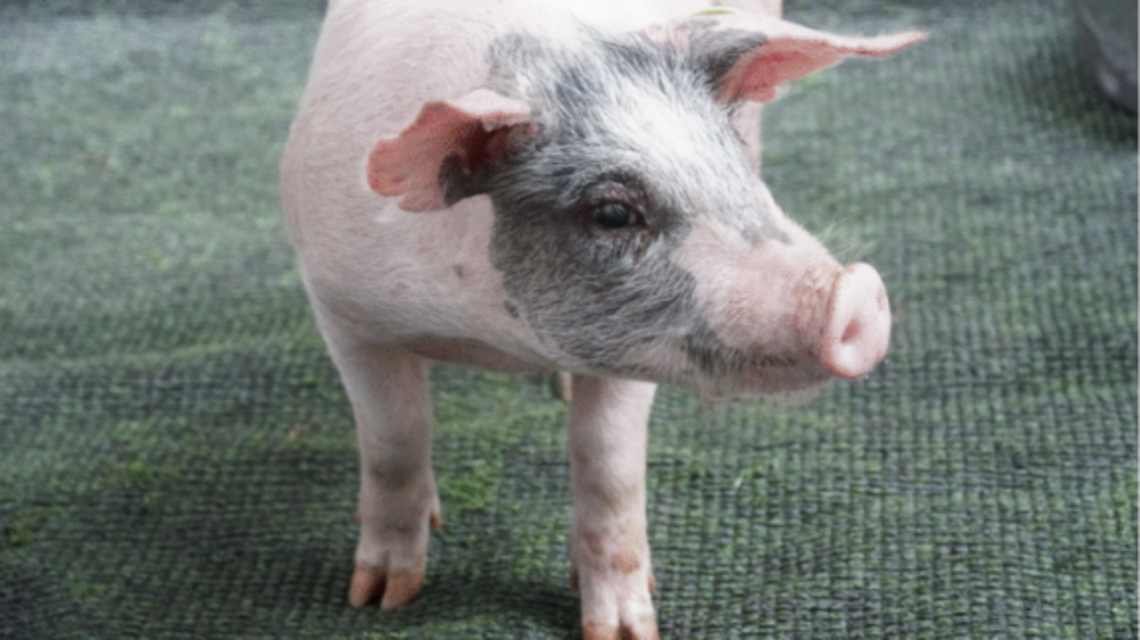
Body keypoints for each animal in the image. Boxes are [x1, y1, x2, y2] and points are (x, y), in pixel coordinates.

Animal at [280, 1, 921, 637]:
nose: (857, 291)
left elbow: (609, 465)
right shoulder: (341, 307)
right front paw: (378, 600)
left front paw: (624, 630)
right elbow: (394, 438)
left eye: (733, 164)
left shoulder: (636, 348)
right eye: (612, 212)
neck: (491, 336)